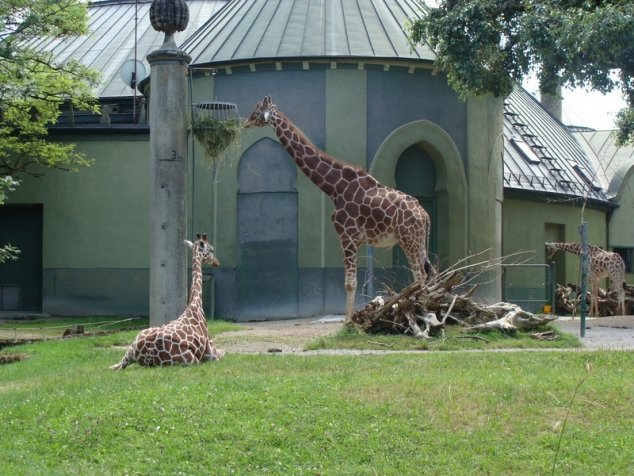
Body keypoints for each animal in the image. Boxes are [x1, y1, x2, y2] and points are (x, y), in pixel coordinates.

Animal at [110, 233, 223, 368]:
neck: (195, 304)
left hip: (129, 352)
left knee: (112, 367)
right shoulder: (212, 353)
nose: (217, 262)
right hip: (192, 360)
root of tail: (149, 355)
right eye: (211, 249)